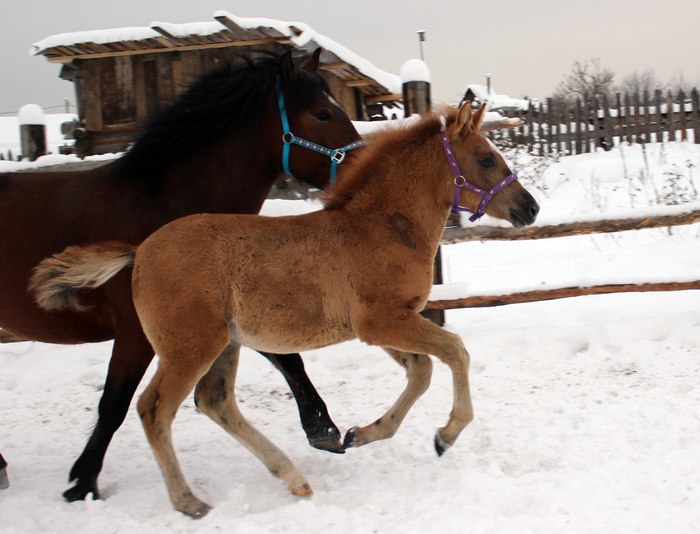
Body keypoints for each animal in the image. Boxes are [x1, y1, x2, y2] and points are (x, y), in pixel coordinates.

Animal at [0, 49, 360, 502]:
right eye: (322, 113)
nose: (367, 165)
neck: (167, 203)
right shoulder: (137, 332)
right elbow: (113, 405)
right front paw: (81, 483)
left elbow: (288, 359)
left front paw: (323, 429)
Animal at [30, 100, 540, 520]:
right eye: (486, 158)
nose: (530, 207)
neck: (384, 228)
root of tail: (139, 252)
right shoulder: (382, 321)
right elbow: (454, 351)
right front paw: (446, 435)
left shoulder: (379, 327)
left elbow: (421, 371)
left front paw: (360, 434)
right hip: (190, 346)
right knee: (155, 409)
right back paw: (189, 501)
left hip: (225, 343)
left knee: (214, 402)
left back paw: (293, 478)